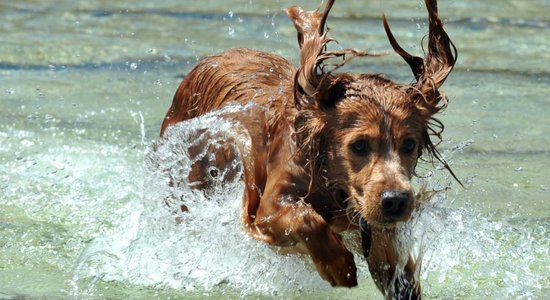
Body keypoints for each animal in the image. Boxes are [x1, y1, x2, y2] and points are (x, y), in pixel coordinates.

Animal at [158, 0, 458, 298]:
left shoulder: (377, 229)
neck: (333, 186)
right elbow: (306, 219)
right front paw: (338, 264)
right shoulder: (266, 207)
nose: (395, 201)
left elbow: (396, 272)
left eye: (409, 144)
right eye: (359, 145)